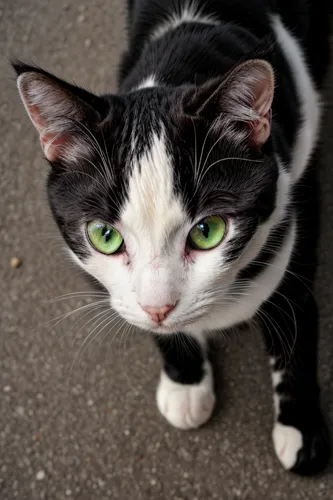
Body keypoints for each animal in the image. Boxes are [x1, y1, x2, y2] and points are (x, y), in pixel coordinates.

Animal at [13, 0, 330, 476]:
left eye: (208, 231)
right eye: (105, 236)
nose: (159, 308)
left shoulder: (296, 195)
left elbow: (294, 314)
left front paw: (301, 429)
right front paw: (185, 384)